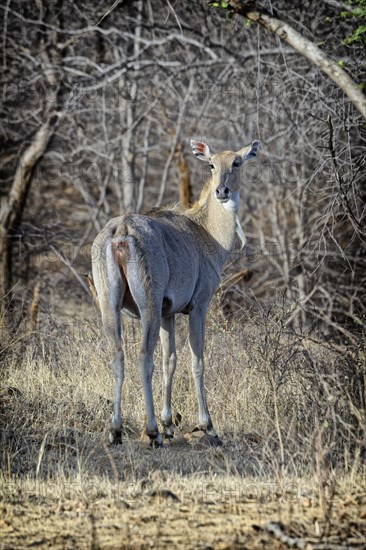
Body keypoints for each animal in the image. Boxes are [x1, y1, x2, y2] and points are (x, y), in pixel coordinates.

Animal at [91, 139, 260, 448]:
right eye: (211, 165)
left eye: (237, 163)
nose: (222, 191)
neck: (206, 231)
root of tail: (120, 232)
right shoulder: (198, 306)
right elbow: (197, 361)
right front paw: (207, 425)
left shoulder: (168, 313)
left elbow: (170, 361)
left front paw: (170, 423)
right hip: (148, 303)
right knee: (143, 356)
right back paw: (152, 431)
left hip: (109, 304)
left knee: (118, 355)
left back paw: (116, 430)